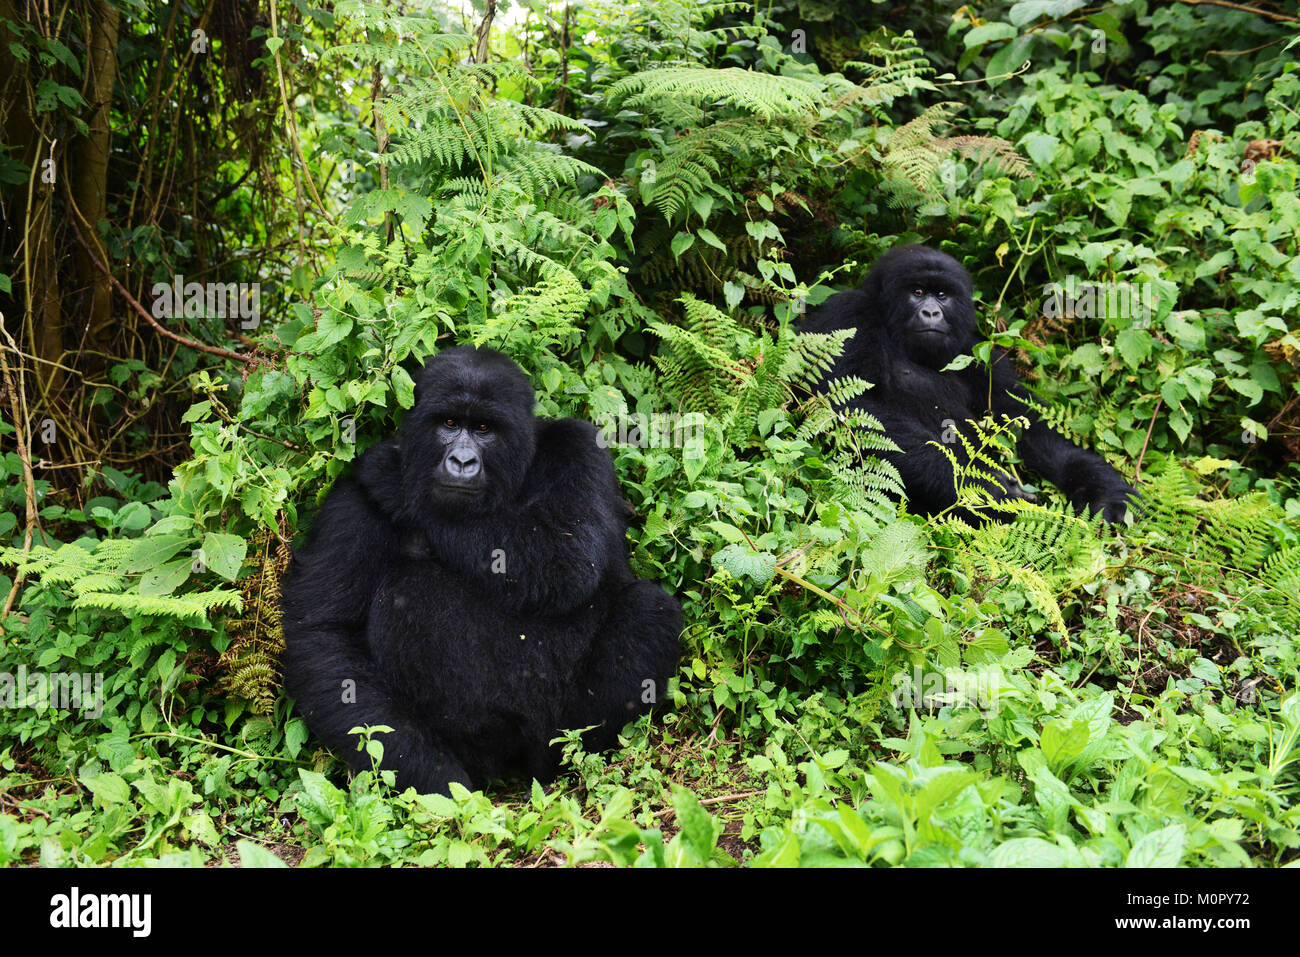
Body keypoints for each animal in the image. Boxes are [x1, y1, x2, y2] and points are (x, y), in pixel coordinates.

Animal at [280, 343, 686, 790]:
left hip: (558, 736)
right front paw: (435, 778)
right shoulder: (350, 503)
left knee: (650, 607)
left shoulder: (579, 446)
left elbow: (568, 554)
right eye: (450, 423)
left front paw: (396, 483)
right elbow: (324, 635)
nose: (461, 461)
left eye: (485, 429)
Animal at [800, 239, 1138, 522]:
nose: (932, 313)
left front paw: (1103, 491)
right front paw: (982, 489)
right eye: (917, 292)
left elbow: (1027, 420)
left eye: (942, 295)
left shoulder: (979, 354)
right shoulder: (850, 313)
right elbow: (854, 406)